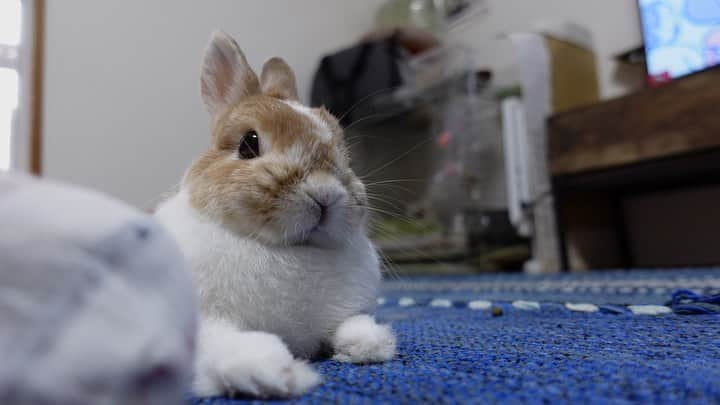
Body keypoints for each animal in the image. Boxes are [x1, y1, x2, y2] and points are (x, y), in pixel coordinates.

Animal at [154, 32, 396, 398]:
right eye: (248, 144)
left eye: (344, 154)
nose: (324, 194)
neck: (288, 250)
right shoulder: (205, 323)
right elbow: (228, 344)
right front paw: (278, 373)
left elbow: (349, 324)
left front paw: (370, 344)